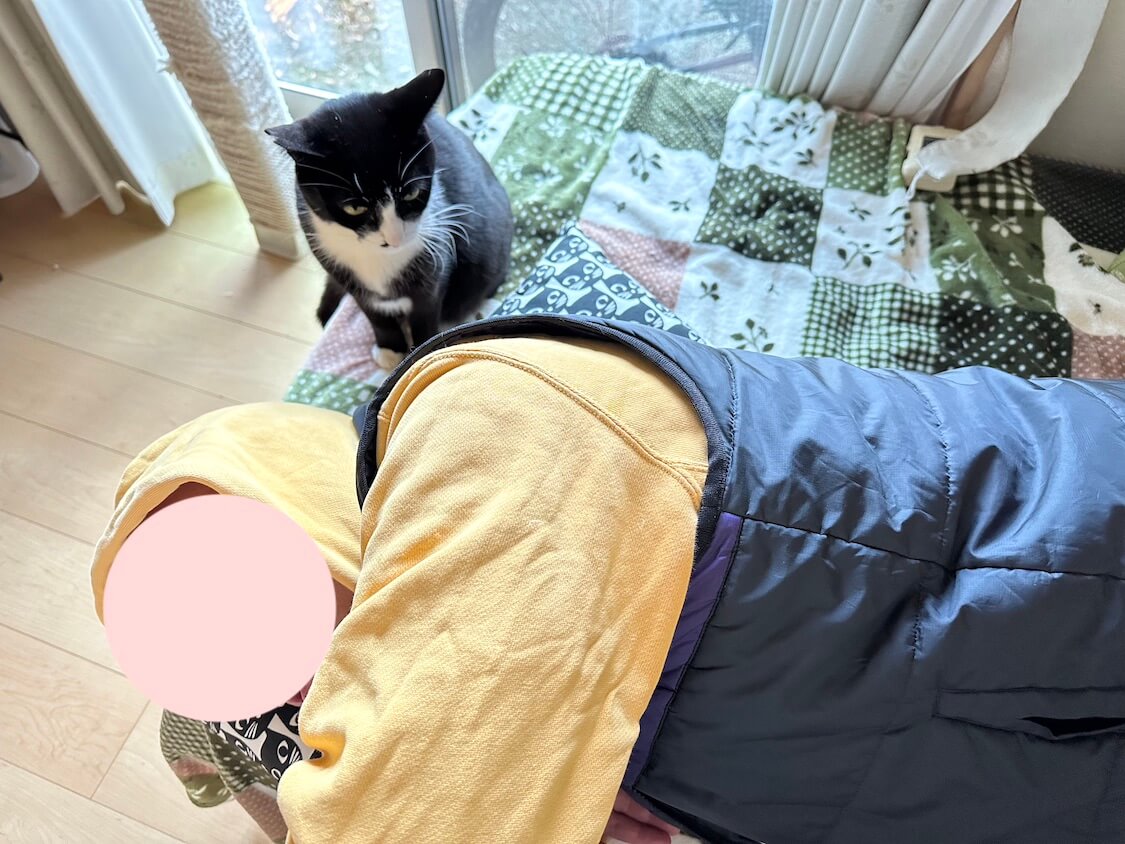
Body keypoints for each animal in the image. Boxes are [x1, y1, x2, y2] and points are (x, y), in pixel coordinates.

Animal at [266, 68, 513, 369]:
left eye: (411, 192)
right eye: (354, 208)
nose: (394, 238)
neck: (375, 260)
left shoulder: (435, 256)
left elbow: (426, 309)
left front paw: (422, 350)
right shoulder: (333, 258)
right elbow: (371, 310)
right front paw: (389, 348)